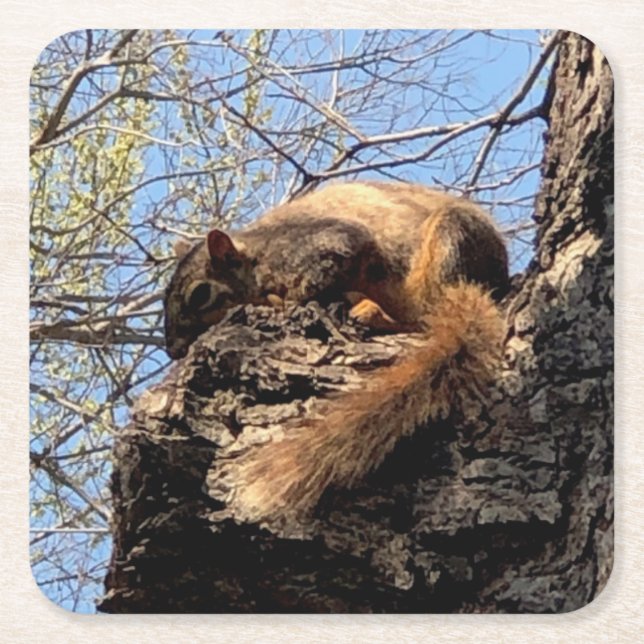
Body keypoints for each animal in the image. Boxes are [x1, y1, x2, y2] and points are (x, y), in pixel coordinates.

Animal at [163, 181, 509, 526]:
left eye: (200, 294)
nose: (173, 350)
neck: (256, 256)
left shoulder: (314, 248)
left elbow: (322, 272)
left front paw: (279, 303)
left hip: (450, 241)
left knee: (423, 314)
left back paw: (375, 314)